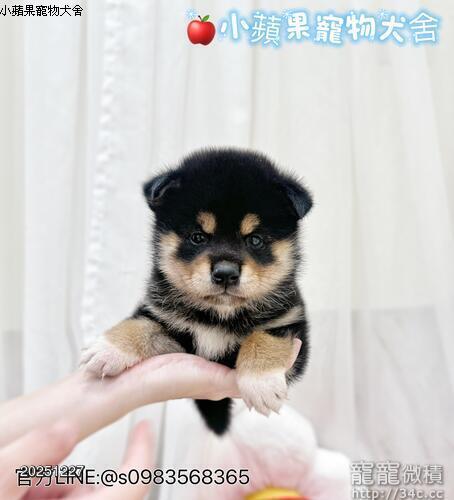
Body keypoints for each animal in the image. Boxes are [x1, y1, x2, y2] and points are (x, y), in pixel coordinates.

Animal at [80, 148, 312, 435]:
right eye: (198, 237)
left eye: (255, 240)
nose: (225, 273)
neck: (217, 315)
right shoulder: (165, 321)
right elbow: (140, 324)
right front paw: (108, 348)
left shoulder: (291, 323)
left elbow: (263, 337)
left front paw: (261, 383)